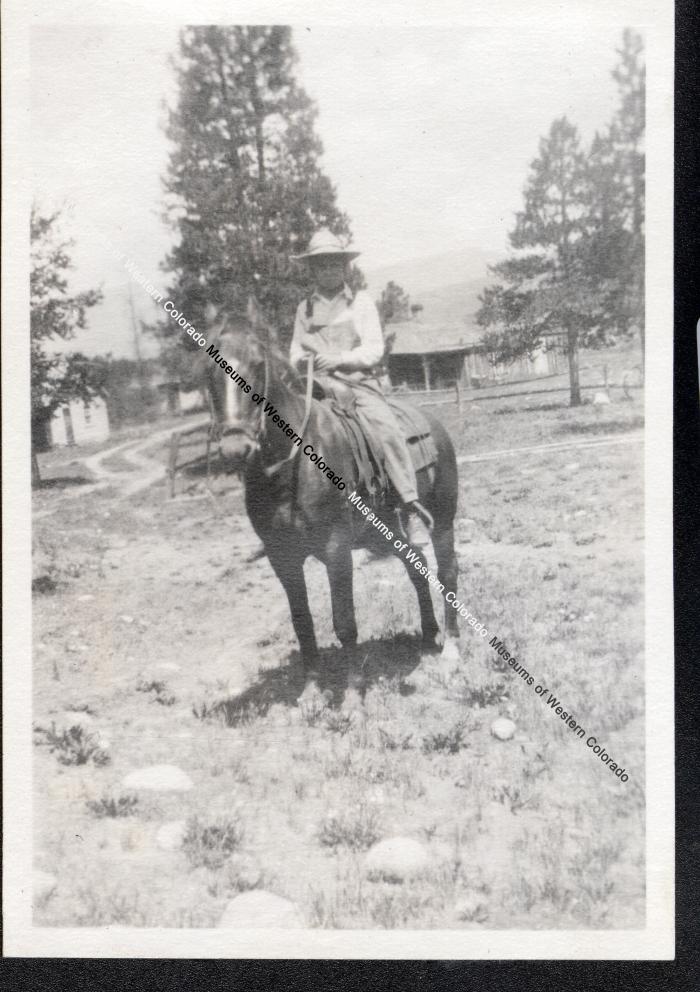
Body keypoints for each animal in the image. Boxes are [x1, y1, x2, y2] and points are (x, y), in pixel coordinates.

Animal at [205, 304, 462, 704]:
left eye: (258, 364)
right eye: (206, 371)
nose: (235, 448)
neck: (294, 464)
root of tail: (433, 423)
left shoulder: (336, 548)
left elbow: (344, 621)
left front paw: (354, 694)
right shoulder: (282, 556)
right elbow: (303, 622)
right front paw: (311, 690)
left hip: (443, 518)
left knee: (447, 572)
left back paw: (451, 648)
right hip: (389, 532)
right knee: (417, 568)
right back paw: (427, 637)